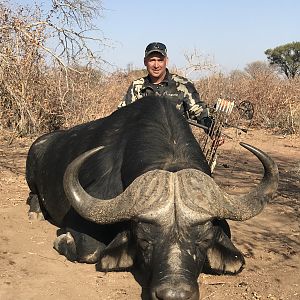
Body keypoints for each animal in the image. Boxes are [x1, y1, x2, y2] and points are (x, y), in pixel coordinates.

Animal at [25, 96, 278, 300]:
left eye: (204, 240)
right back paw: (34, 212)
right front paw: (63, 239)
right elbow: (89, 250)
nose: (174, 295)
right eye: (144, 240)